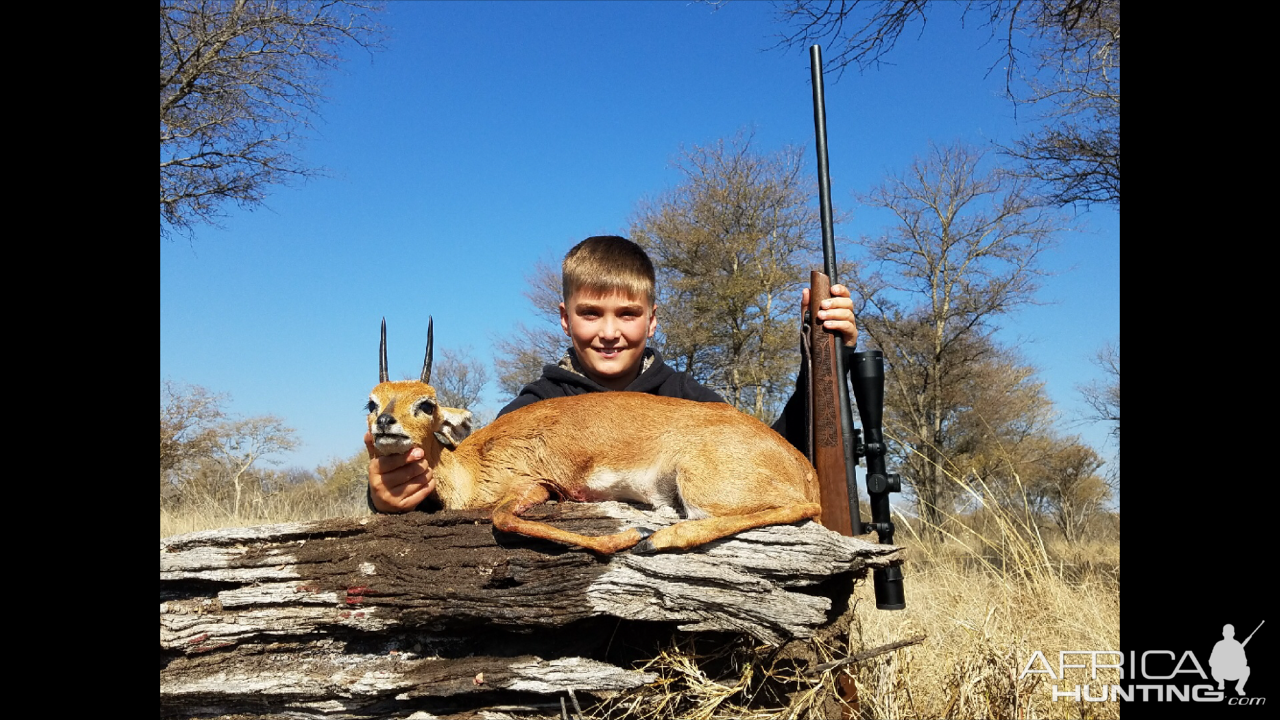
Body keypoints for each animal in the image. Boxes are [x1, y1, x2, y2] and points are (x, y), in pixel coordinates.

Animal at [368, 316, 829, 550]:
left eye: (426, 404)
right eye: (371, 402)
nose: (386, 424)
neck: (469, 466)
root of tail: (804, 468)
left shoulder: (533, 486)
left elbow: (503, 519)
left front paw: (626, 536)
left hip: (701, 486)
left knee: (801, 509)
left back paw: (658, 538)